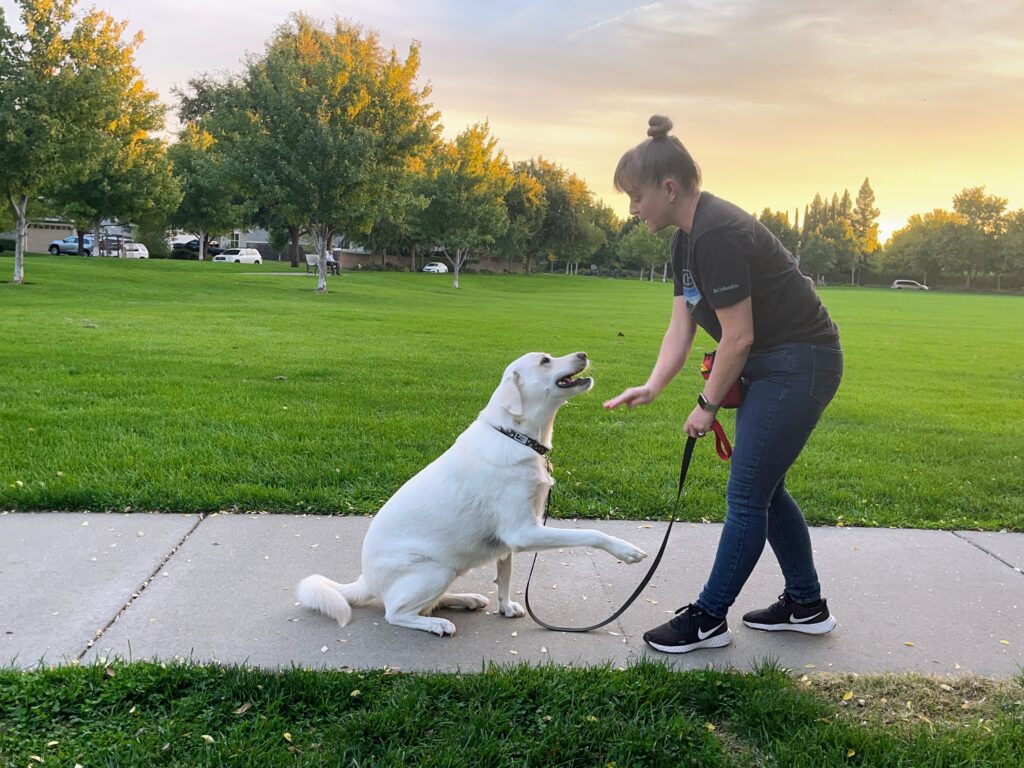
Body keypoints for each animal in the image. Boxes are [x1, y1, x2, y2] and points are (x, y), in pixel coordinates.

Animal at [299, 354, 647, 638]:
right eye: (545, 361)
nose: (583, 354)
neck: (516, 436)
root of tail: (365, 581)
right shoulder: (523, 532)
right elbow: (590, 533)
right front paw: (625, 550)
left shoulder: (509, 541)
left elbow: (505, 577)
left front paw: (505, 607)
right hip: (435, 569)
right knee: (396, 613)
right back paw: (437, 624)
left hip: (448, 570)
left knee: (425, 603)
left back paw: (467, 599)